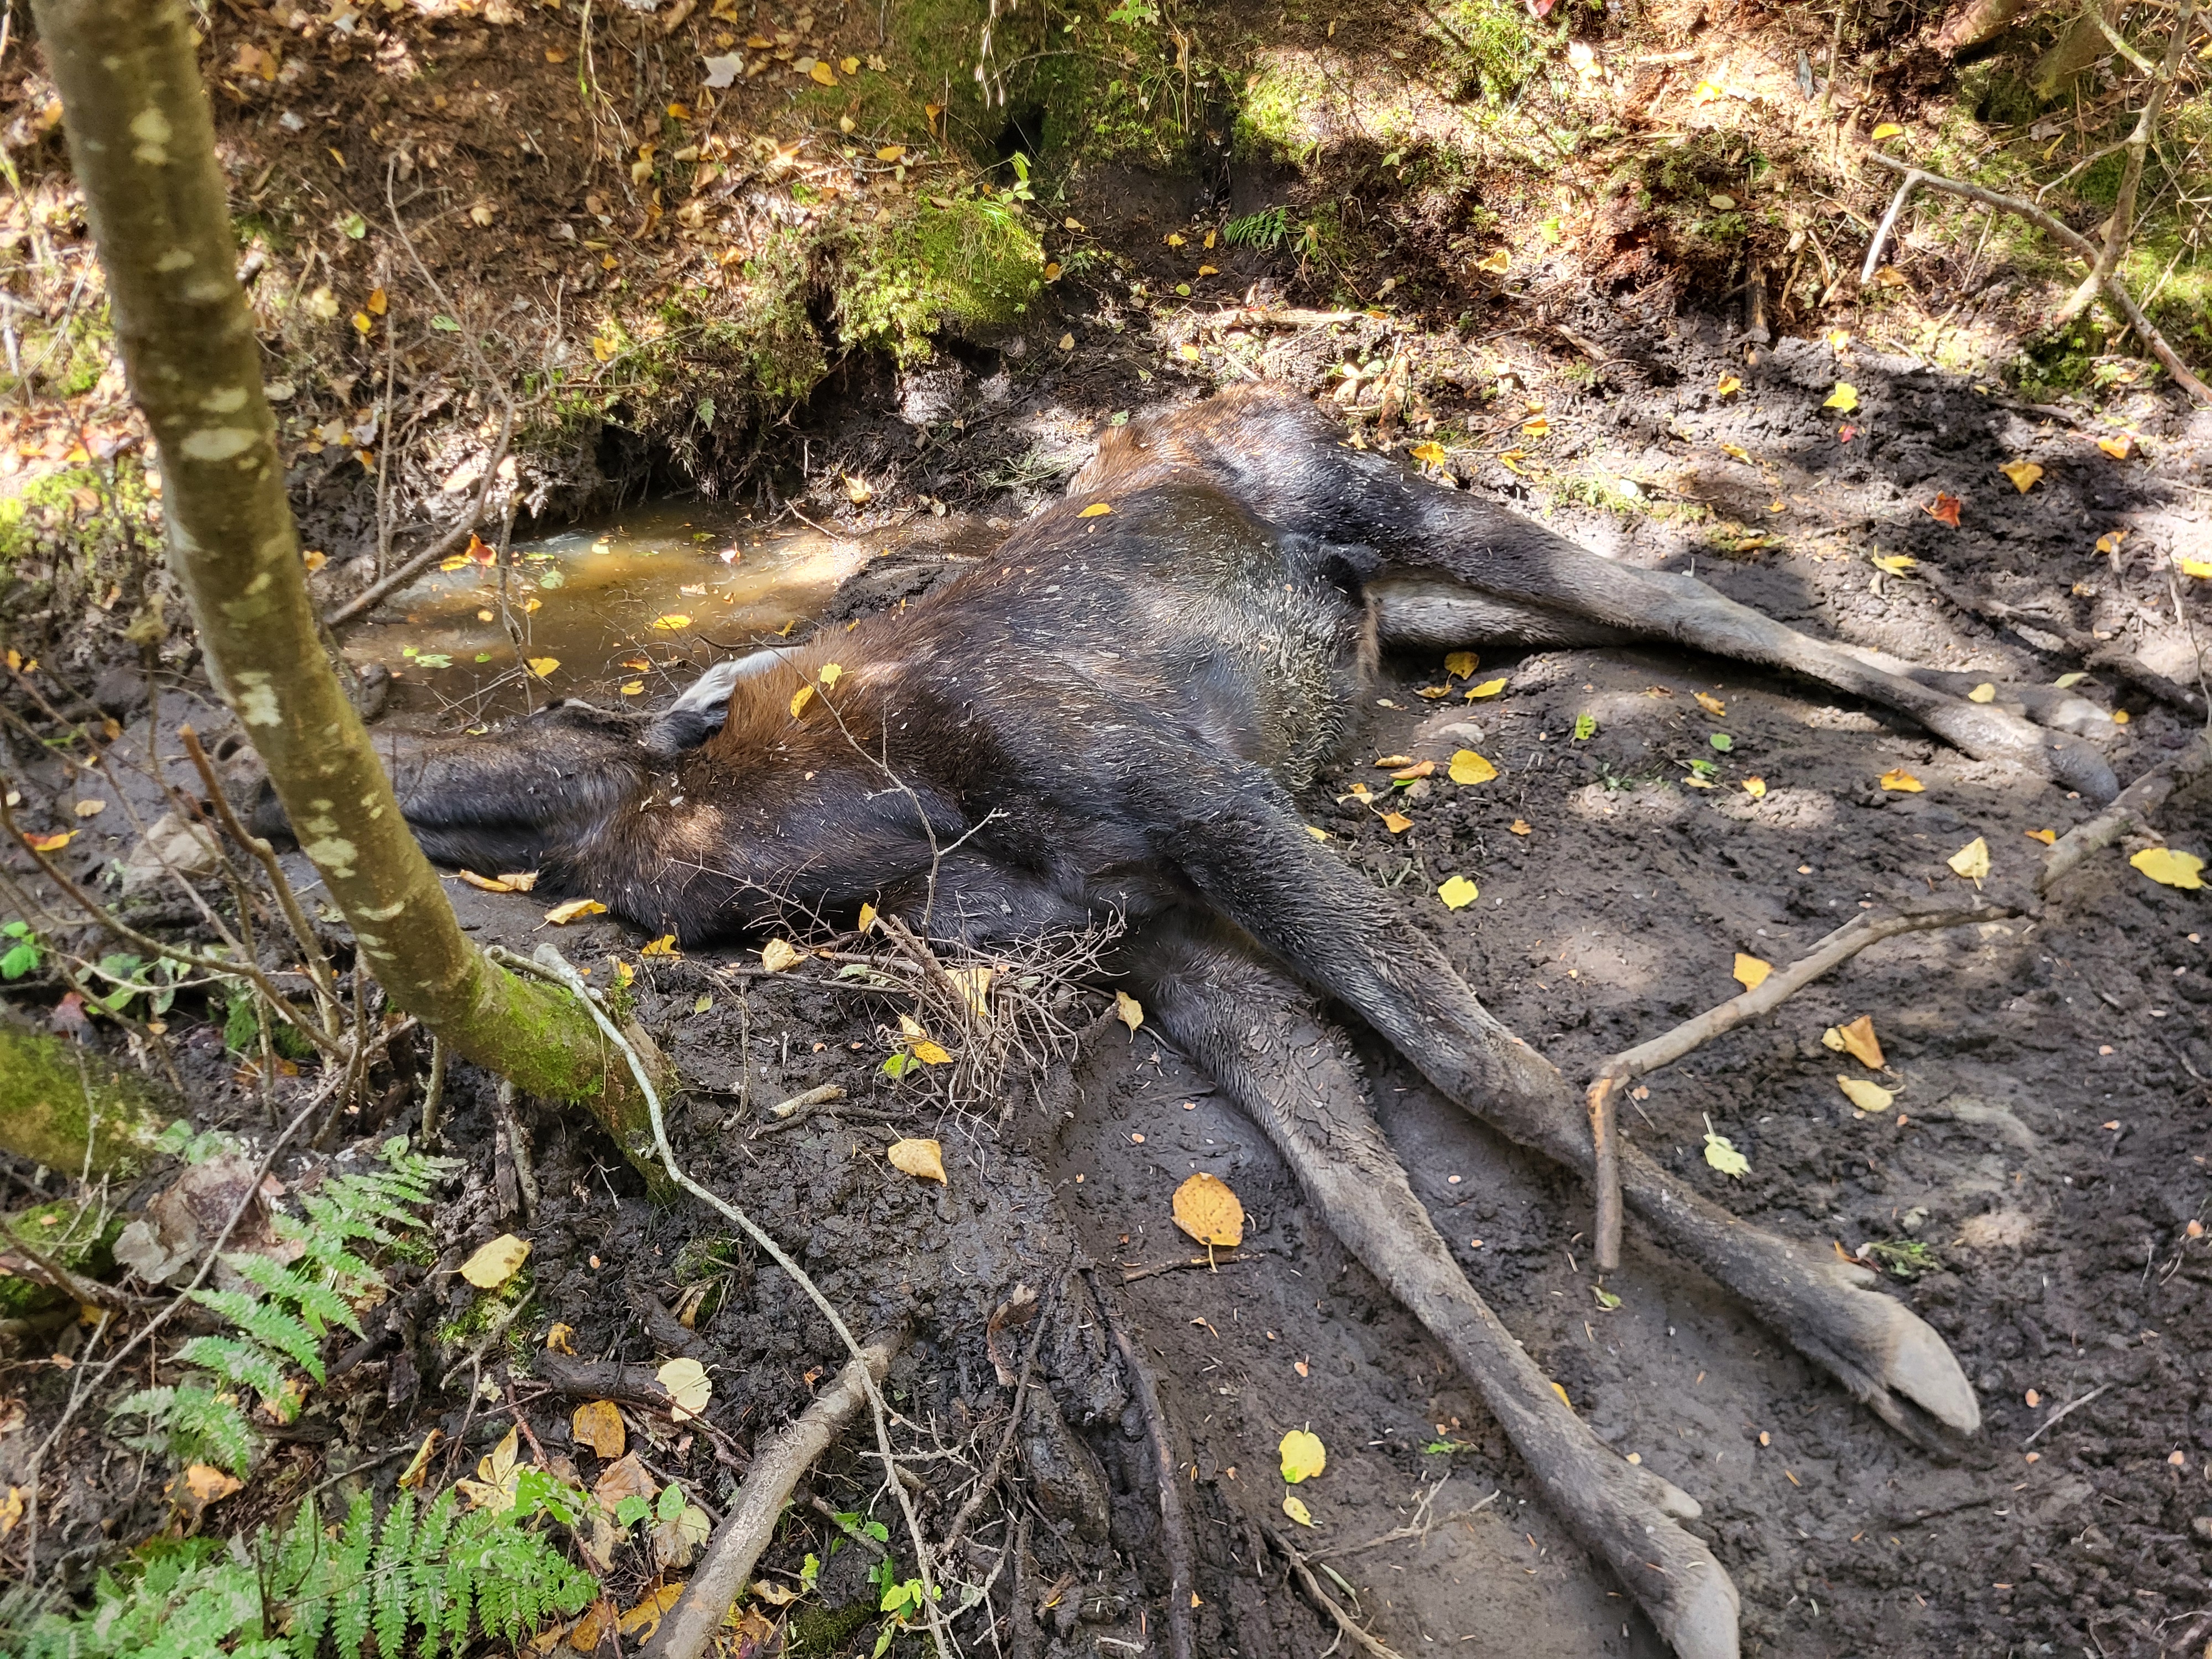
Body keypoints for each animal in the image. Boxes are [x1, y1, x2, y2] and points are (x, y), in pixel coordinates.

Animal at [280, 384, 2120, 1659]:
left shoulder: (1200, 797)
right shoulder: (1164, 933)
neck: (888, 821)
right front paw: (1654, 1551)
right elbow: (1366, 1197)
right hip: (1404, 614)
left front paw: (1862, 1332)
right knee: (1586, 622)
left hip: (1410, 507)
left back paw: (2022, 729)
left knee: (1689, 601)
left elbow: (1482, 1059)